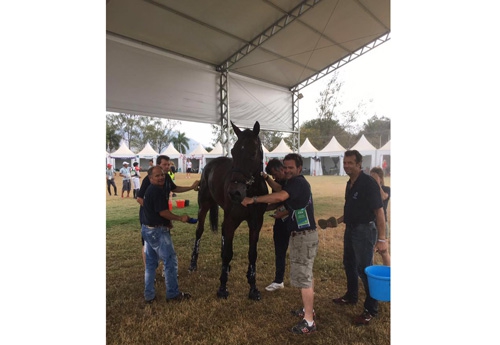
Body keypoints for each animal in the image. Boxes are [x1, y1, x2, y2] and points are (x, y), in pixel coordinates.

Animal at [189, 122, 270, 300]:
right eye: (233, 151)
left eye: (253, 153)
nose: (234, 192)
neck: (250, 192)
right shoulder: (232, 219)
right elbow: (228, 252)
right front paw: (222, 287)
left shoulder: (256, 223)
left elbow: (252, 253)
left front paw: (253, 288)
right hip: (204, 207)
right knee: (199, 231)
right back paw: (193, 263)